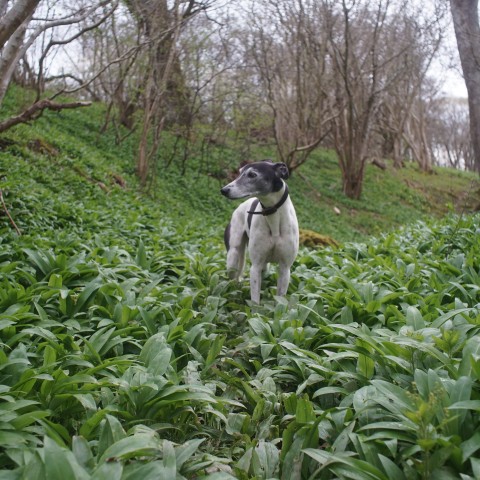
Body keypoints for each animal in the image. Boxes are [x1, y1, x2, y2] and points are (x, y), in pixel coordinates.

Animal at [222, 161, 298, 304]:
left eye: (252, 174)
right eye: (239, 172)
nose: (224, 190)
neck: (273, 217)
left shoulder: (285, 268)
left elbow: (280, 299)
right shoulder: (255, 267)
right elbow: (255, 301)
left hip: (264, 267)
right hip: (233, 257)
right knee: (232, 279)